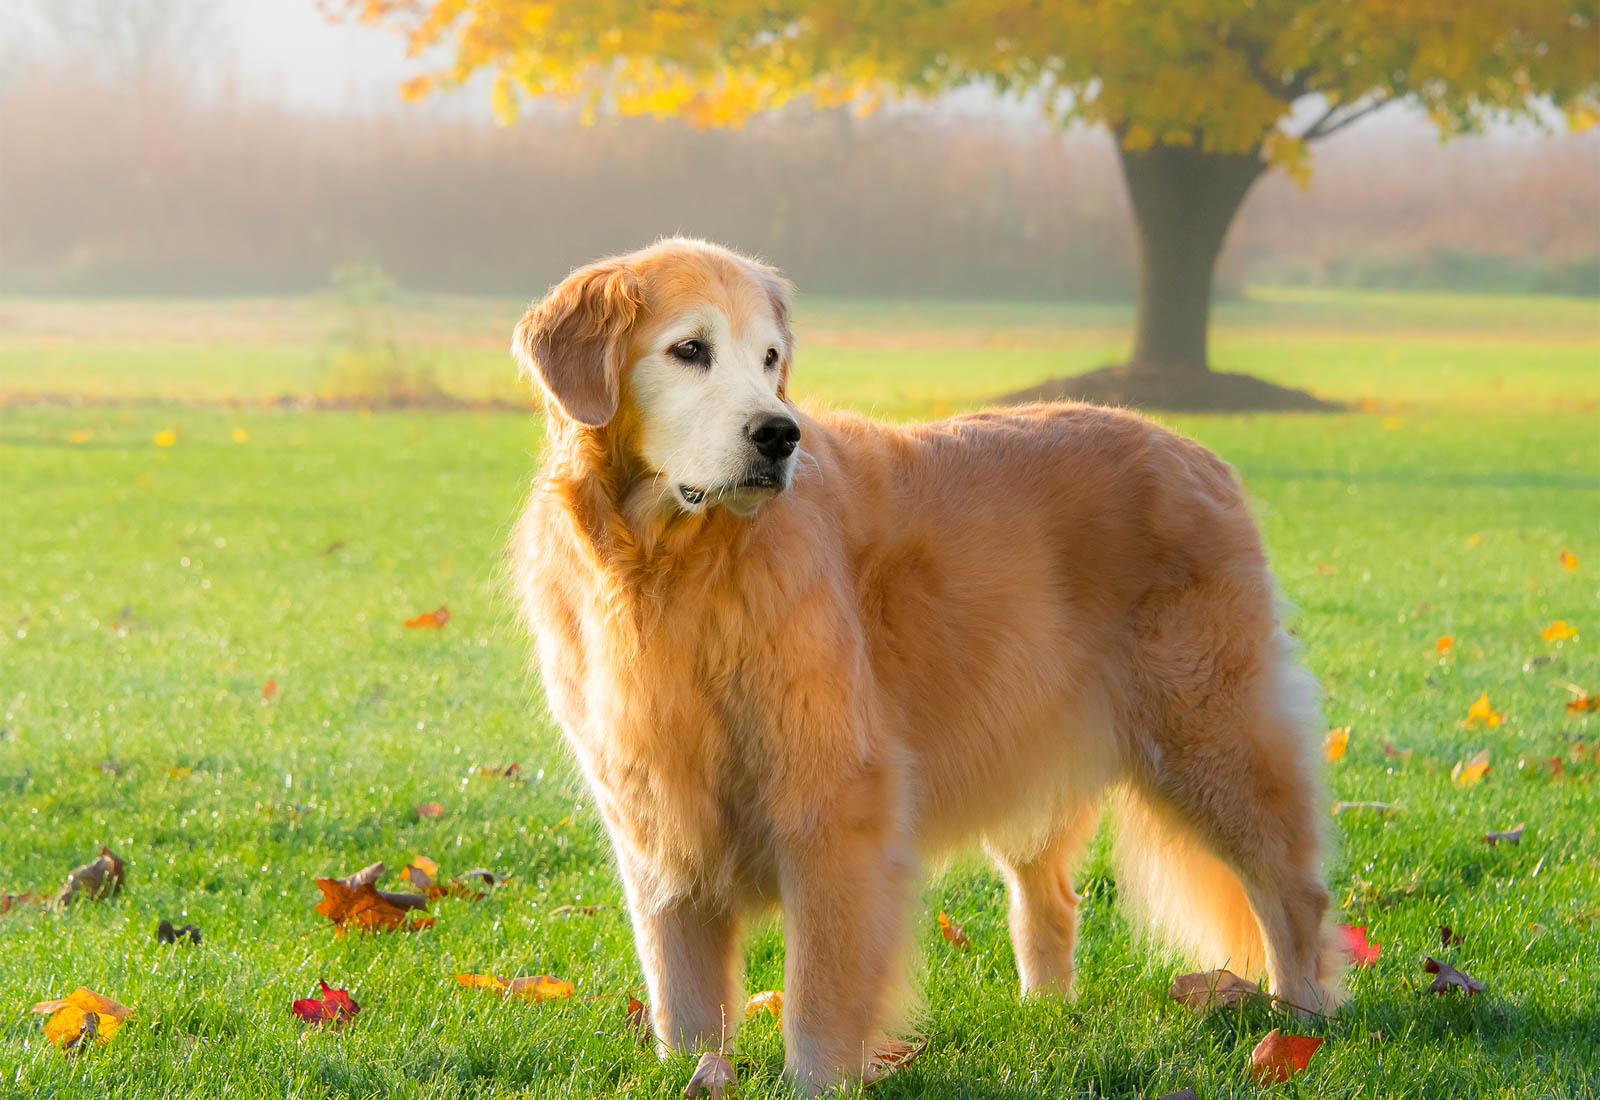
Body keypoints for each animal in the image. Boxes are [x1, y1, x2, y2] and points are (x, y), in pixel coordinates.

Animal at [508, 236, 1337, 1087]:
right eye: (688, 350)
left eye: (770, 359)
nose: (779, 435)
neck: (669, 568)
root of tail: (1200, 454)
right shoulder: (654, 817)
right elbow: (684, 997)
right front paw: (698, 1073)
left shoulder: (836, 803)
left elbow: (818, 990)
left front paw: (817, 1082)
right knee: (1050, 896)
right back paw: (1045, 1014)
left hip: (1211, 742)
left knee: (1293, 887)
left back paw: (1301, 1020)